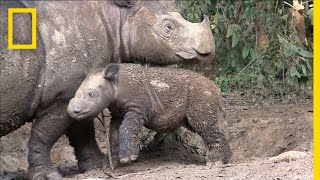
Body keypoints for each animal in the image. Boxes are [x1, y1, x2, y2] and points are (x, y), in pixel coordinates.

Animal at [68, 63, 230, 166]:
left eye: (91, 94)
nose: (72, 110)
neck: (114, 84)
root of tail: (215, 87)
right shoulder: (118, 113)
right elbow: (114, 132)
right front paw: (112, 162)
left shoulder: (137, 108)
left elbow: (127, 128)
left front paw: (128, 158)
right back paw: (224, 160)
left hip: (199, 92)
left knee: (203, 124)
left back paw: (215, 162)